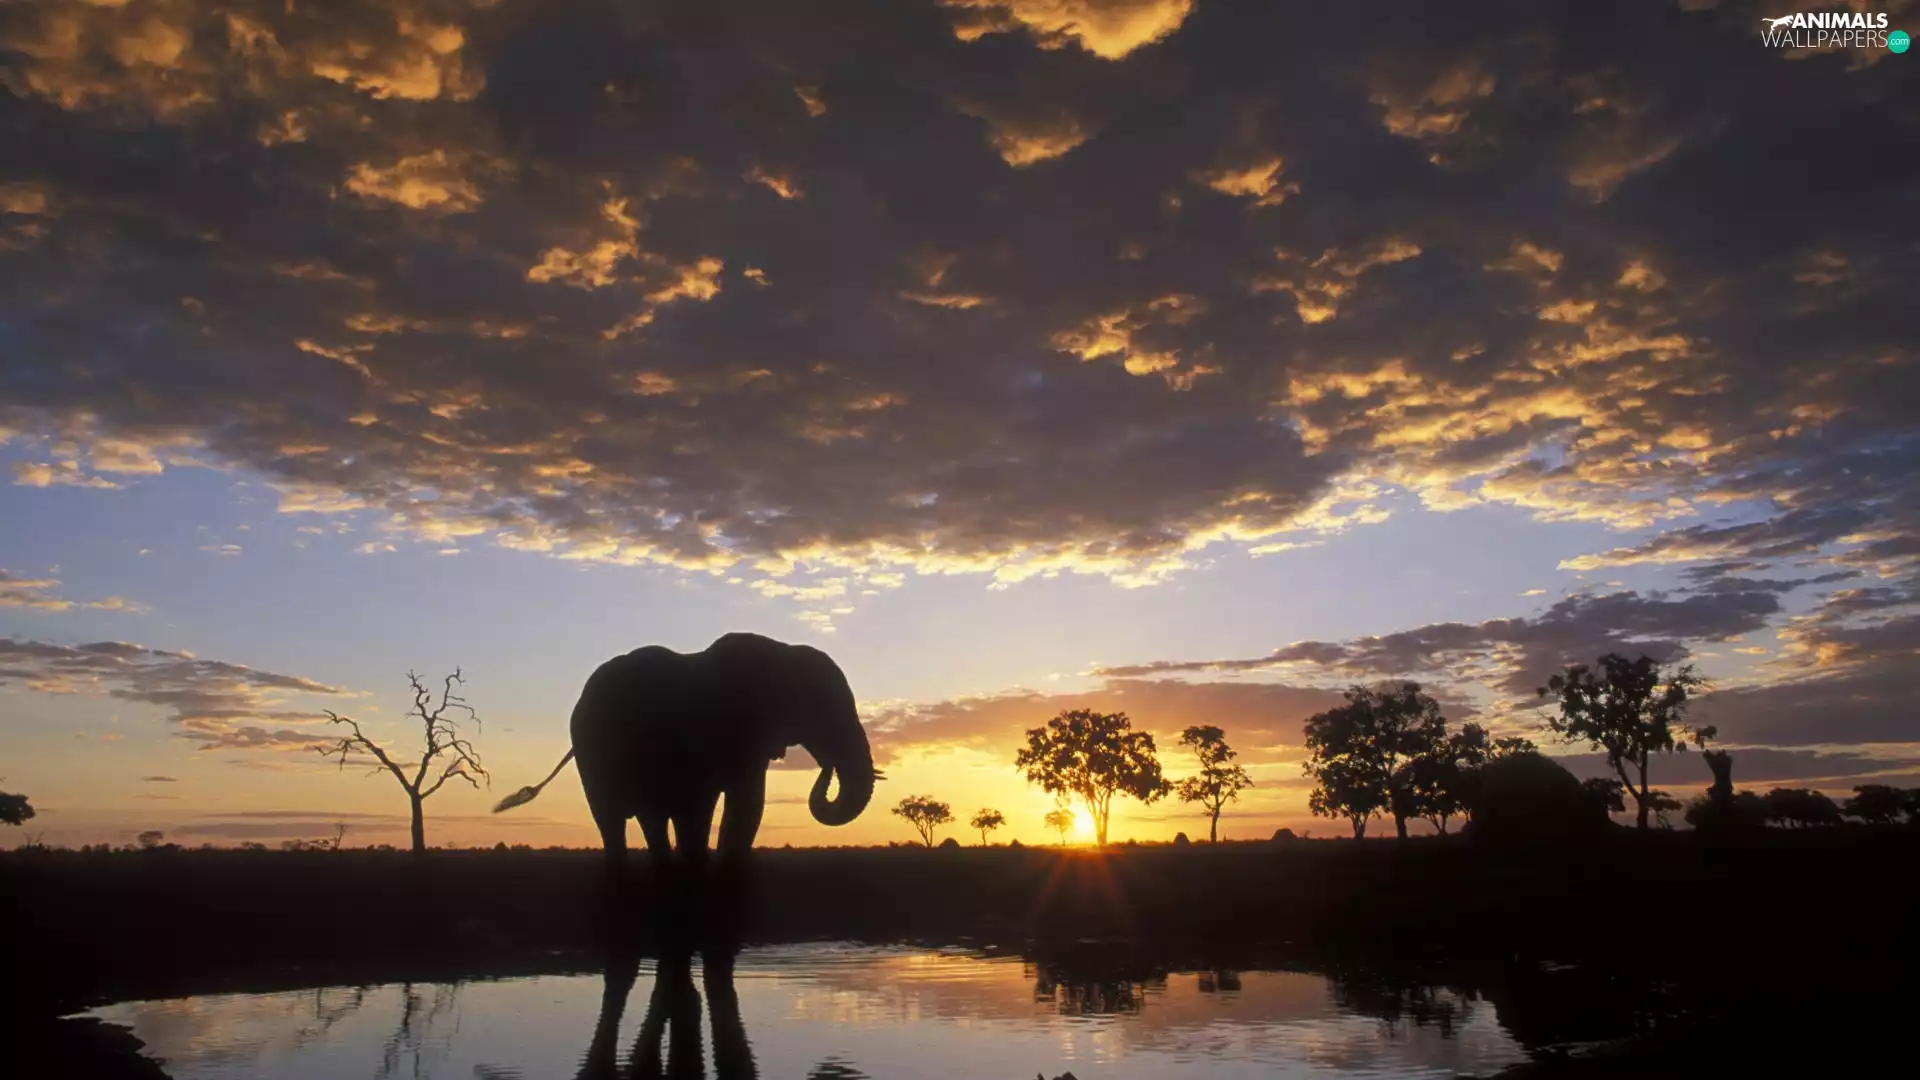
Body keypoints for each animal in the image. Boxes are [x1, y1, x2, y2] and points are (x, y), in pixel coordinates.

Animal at [495, 632, 877, 878]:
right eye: (821, 709)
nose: (826, 766)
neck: (780, 652)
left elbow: (747, 804)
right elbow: (703, 806)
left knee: (652, 819)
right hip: (593, 755)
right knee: (615, 822)